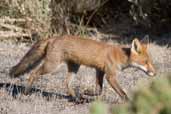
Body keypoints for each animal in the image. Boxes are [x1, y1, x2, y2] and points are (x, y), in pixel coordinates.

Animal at [9, 35, 156, 100]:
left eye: (151, 62)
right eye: (145, 62)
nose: (155, 73)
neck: (120, 56)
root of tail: (53, 37)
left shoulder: (99, 71)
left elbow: (99, 90)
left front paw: (87, 92)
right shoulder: (110, 76)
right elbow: (123, 93)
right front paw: (129, 103)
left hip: (74, 68)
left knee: (66, 83)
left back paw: (77, 98)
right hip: (51, 66)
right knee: (33, 73)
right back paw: (26, 93)